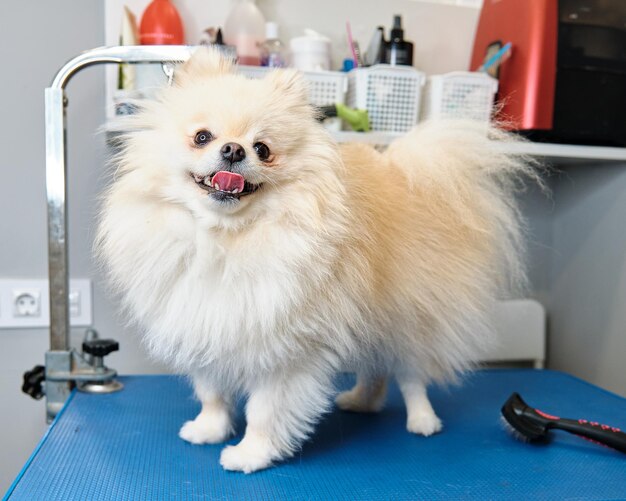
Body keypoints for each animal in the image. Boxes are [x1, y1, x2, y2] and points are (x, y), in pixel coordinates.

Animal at [96, 49, 532, 472]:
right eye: (202, 137)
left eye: (263, 149)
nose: (233, 149)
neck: (226, 239)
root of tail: (405, 177)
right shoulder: (205, 326)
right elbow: (212, 391)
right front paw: (209, 429)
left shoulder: (286, 351)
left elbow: (265, 412)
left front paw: (250, 454)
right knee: (376, 368)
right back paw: (361, 401)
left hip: (408, 318)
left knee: (411, 375)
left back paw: (422, 420)